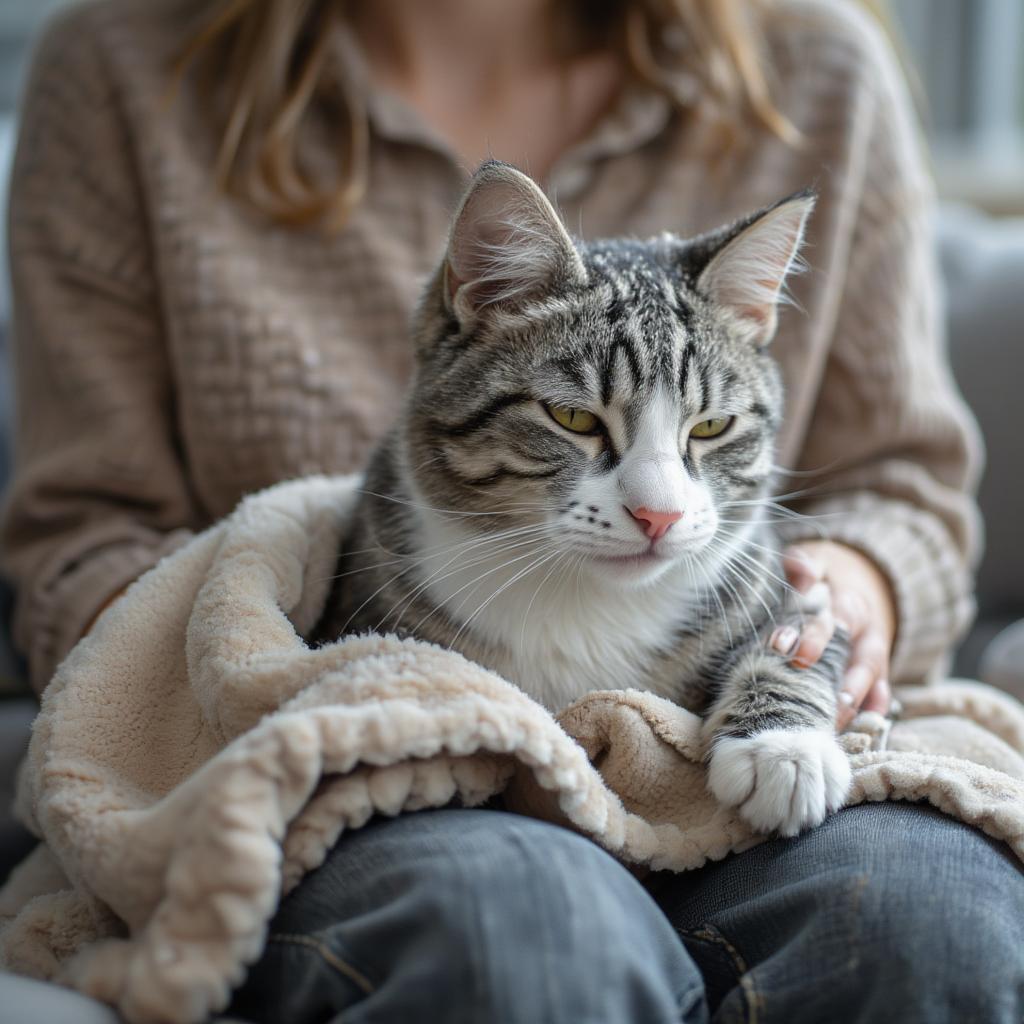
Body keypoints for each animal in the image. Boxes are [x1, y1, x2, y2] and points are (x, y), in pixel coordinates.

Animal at [309, 157, 847, 831]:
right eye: (574, 418)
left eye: (711, 427)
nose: (659, 515)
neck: (584, 599)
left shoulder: (770, 575)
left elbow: (797, 640)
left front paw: (784, 747)